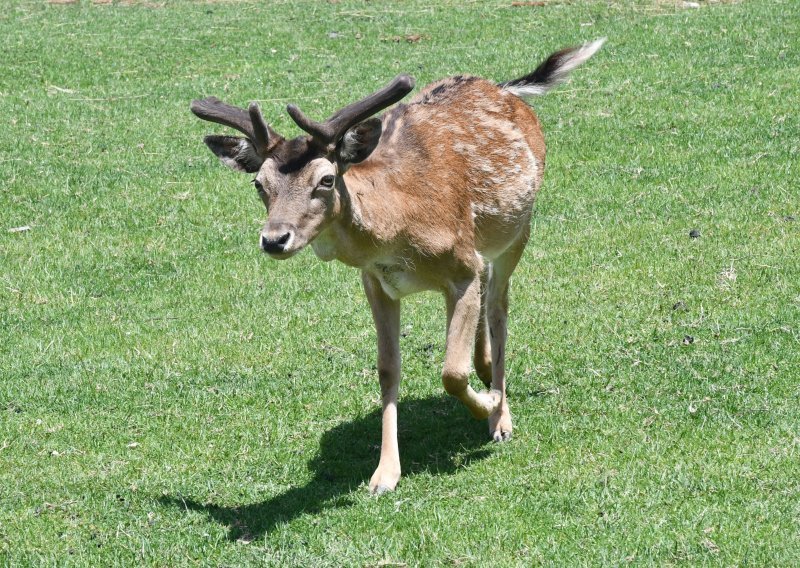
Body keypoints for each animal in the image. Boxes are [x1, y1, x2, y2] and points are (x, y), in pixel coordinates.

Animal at [192, 38, 608, 492]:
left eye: (325, 180)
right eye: (259, 183)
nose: (273, 239)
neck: (397, 232)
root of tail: (504, 89)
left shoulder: (460, 266)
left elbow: (451, 372)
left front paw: (490, 404)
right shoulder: (376, 282)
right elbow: (388, 369)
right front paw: (385, 473)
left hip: (517, 231)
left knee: (499, 306)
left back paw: (500, 415)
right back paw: (485, 372)